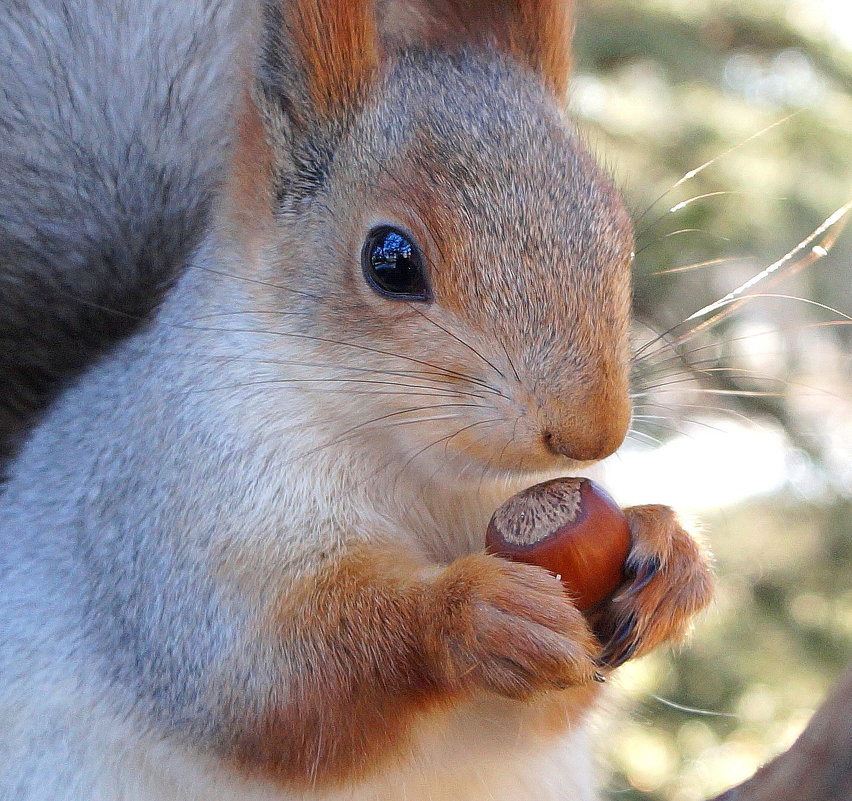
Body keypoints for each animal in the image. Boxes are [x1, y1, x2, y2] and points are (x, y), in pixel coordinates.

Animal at [1, 1, 720, 800]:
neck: (423, 472)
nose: (594, 434)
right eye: (390, 260)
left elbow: (557, 706)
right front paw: (474, 613)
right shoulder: (169, 535)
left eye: (618, 231)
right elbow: (277, 684)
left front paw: (672, 557)